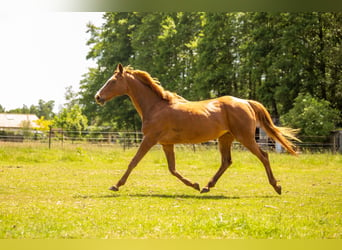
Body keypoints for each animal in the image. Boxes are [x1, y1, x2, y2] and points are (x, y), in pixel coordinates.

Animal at [95, 63, 298, 194]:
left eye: (112, 81)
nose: (97, 97)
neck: (155, 106)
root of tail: (246, 102)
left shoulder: (150, 139)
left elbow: (133, 162)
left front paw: (116, 185)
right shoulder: (166, 144)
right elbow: (172, 169)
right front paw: (194, 184)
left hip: (245, 137)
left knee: (263, 156)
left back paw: (277, 186)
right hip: (225, 138)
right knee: (226, 162)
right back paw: (207, 186)